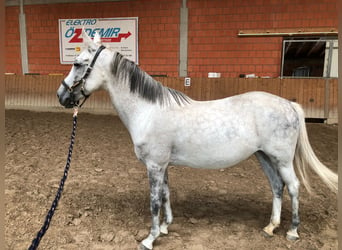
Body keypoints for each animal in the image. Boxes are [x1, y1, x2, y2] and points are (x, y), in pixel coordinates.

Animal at [56, 31, 336, 250]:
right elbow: (166, 194)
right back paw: (270, 227)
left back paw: (292, 231)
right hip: (264, 156)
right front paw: (166, 227)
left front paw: (150, 238)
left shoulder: (154, 165)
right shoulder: (163, 165)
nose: (61, 95)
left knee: (294, 187)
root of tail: (289, 104)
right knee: (277, 186)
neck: (148, 110)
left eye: (78, 64)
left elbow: (154, 201)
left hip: (282, 159)